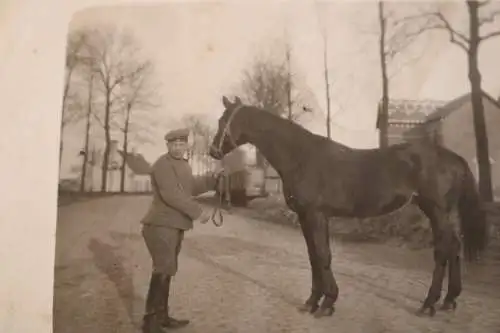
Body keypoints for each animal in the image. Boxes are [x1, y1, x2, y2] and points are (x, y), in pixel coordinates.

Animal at [207, 95, 488, 316]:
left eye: (224, 120)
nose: (212, 152)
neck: (300, 156)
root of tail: (453, 158)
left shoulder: (317, 215)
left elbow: (323, 255)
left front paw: (327, 303)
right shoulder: (305, 216)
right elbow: (313, 256)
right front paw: (312, 301)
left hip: (438, 210)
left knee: (443, 251)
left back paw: (428, 304)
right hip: (439, 211)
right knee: (455, 247)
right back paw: (449, 301)